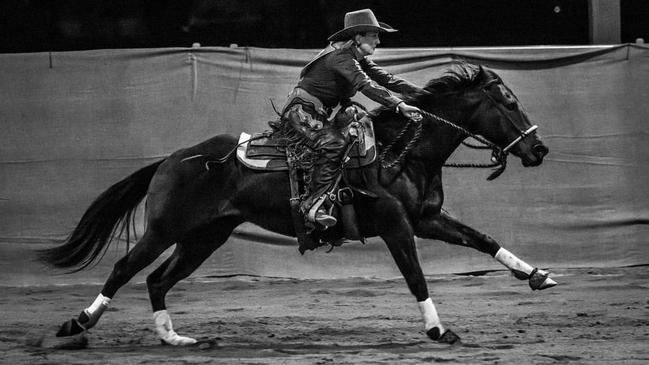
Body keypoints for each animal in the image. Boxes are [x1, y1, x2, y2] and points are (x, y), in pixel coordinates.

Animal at [40, 61, 556, 344]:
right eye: (509, 103)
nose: (539, 149)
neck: (403, 151)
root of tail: (171, 159)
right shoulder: (397, 225)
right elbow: (415, 276)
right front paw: (438, 330)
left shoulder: (427, 218)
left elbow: (482, 239)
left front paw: (536, 275)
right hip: (166, 229)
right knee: (124, 269)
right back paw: (78, 324)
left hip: (205, 237)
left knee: (157, 280)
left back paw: (173, 337)